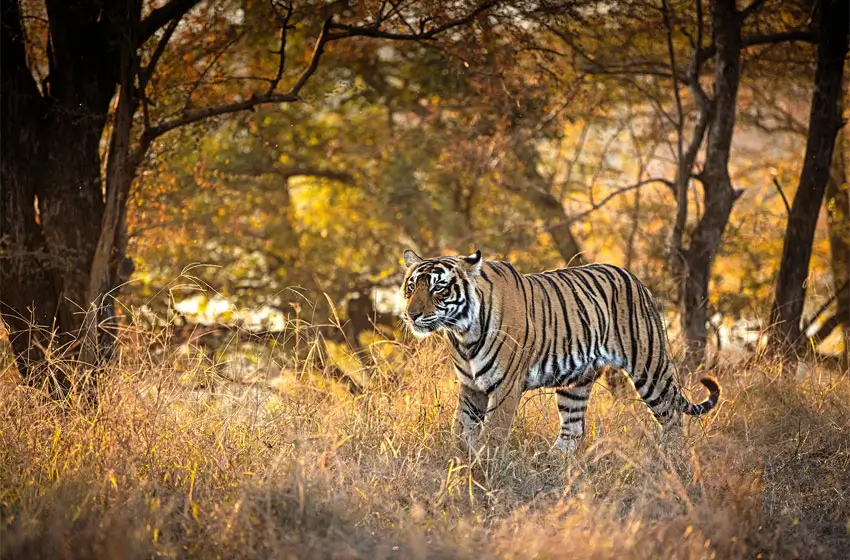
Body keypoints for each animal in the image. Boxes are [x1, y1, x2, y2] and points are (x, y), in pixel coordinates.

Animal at [401, 249, 720, 455]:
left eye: (439, 289)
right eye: (411, 287)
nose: (411, 315)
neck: (463, 332)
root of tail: (634, 277)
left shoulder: (505, 387)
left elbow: (492, 434)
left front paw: (481, 470)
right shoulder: (471, 387)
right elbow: (460, 429)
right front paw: (457, 463)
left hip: (650, 368)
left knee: (672, 417)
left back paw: (671, 459)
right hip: (576, 384)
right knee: (573, 430)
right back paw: (553, 463)